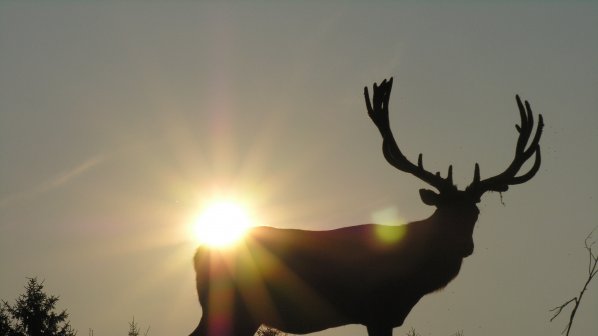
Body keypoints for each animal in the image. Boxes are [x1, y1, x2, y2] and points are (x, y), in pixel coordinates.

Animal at [190, 78, 548, 336]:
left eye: (474, 213)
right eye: (445, 213)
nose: (465, 246)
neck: (412, 278)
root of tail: (198, 254)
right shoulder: (376, 311)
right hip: (233, 305)